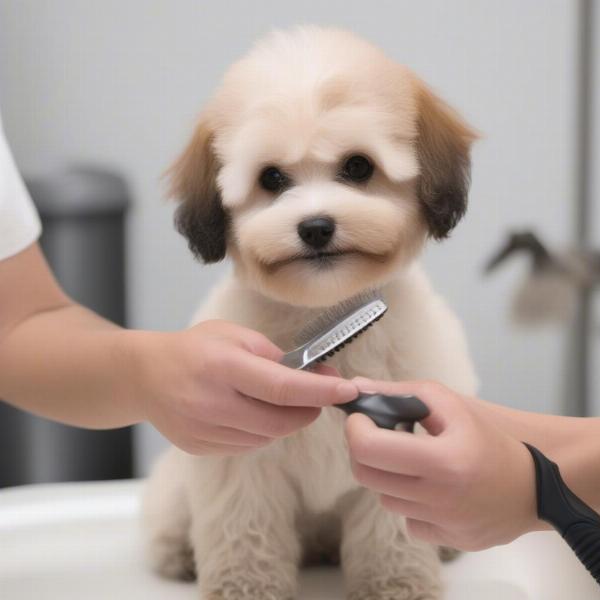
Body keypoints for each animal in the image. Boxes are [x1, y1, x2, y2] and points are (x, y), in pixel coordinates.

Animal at [145, 27, 478, 600]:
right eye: (272, 178)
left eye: (358, 166)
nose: (316, 226)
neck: (323, 309)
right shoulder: (239, 455)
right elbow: (244, 527)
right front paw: (244, 587)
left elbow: (391, 525)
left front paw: (396, 584)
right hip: (173, 486)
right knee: (166, 517)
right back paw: (178, 555)